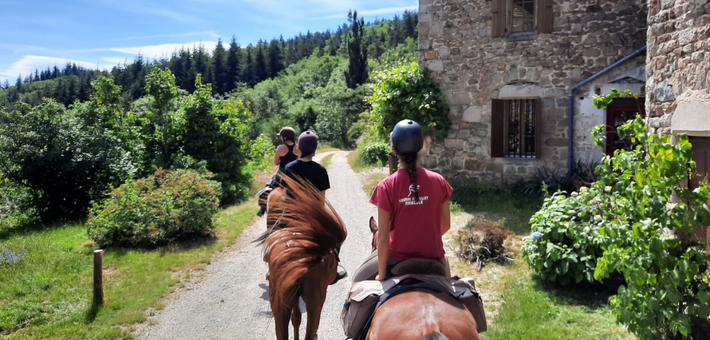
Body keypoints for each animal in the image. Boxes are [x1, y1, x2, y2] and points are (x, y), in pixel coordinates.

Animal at [254, 175, 350, 340]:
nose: (259, 212)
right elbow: (297, 319)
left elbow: (296, 318)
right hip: (316, 302)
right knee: (310, 331)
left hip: (281, 305)